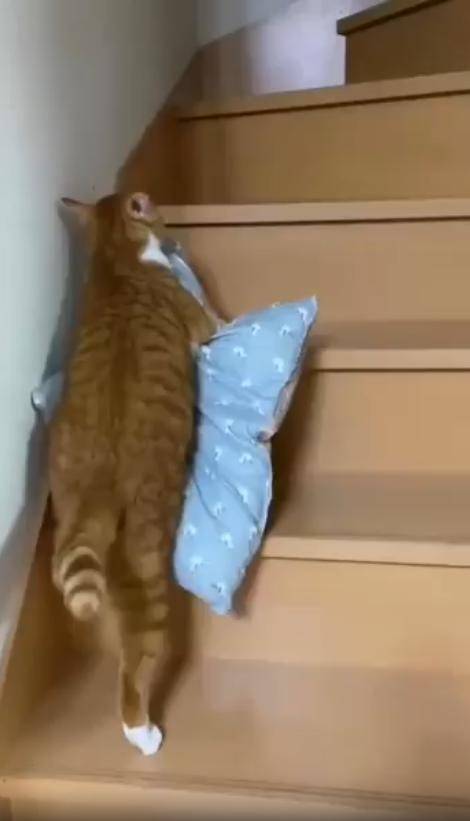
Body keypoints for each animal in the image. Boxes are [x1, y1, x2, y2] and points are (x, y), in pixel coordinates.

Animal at [49, 192, 215, 755]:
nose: (169, 228)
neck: (117, 260)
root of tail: (96, 484)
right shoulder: (201, 323)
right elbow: (213, 322)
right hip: (148, 567)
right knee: (136, 661)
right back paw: (142, 732)